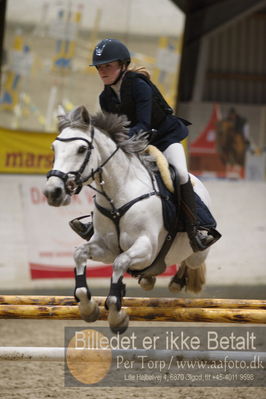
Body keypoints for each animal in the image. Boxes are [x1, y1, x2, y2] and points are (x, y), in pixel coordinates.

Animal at [44, 106, 216, 334]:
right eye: (54, 149)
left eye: (81, 149)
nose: (53, 192)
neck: (117, 195)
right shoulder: (106, 247)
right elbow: (80, 255)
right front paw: (89, 309)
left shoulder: (146, 247)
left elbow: (120, 263)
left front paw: (117, 317)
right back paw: (149, 277)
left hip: (198, 252)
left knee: (192, 261)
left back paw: (178, 279)